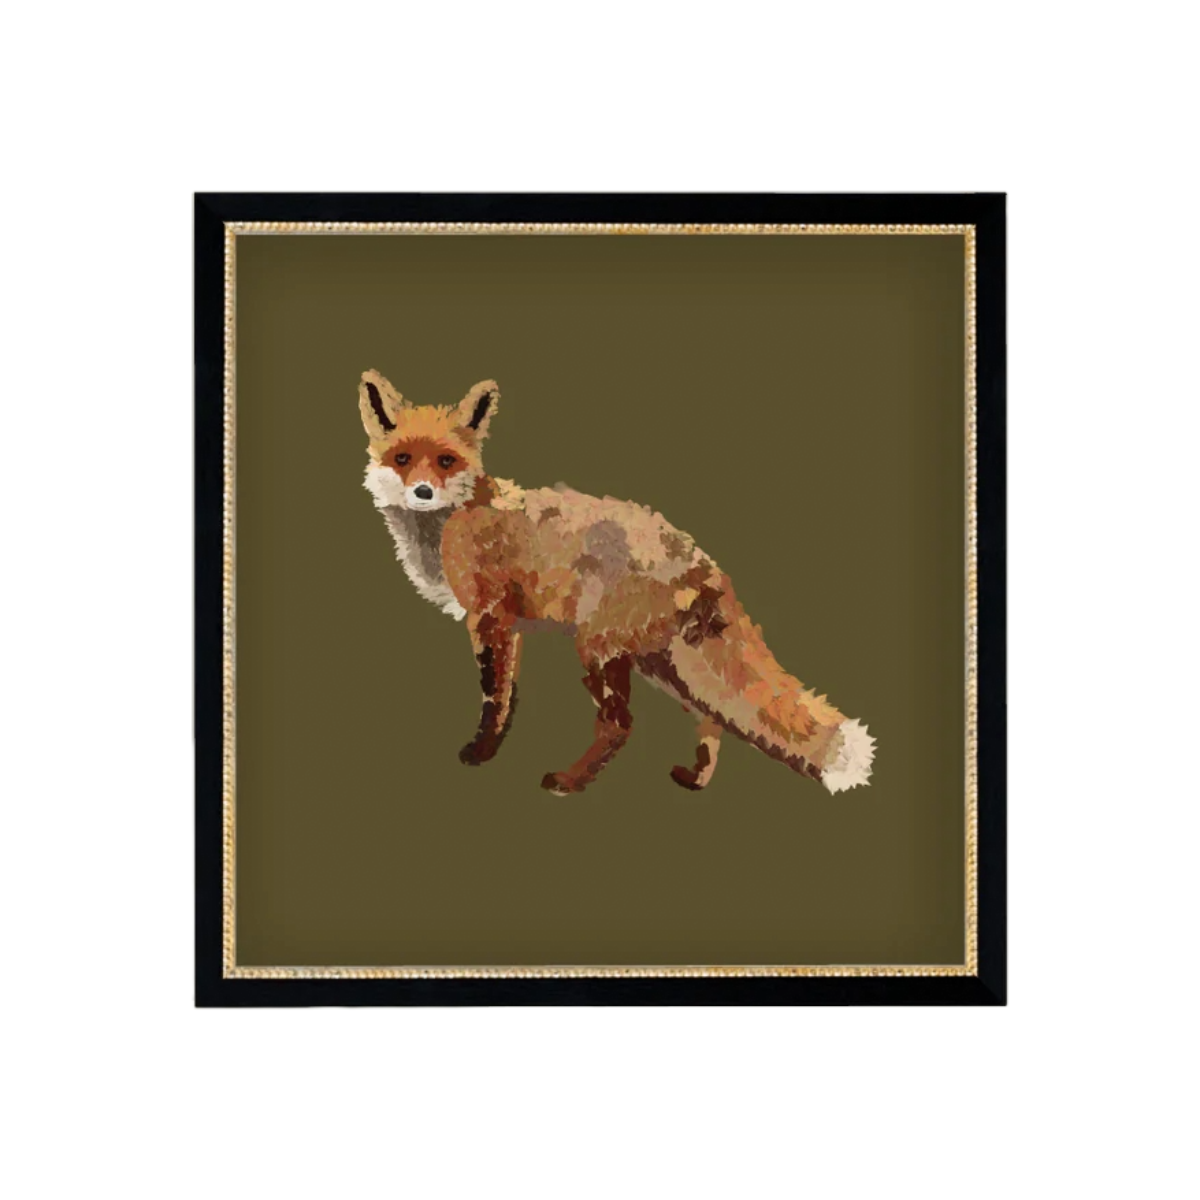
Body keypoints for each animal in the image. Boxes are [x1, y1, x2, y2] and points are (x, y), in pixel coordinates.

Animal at [359, 369, 875, 796]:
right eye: (402, 458)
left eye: (446, 461)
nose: (422, 492)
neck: (450, 521)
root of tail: (702, 559)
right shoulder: (508, 625)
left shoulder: (491, 617)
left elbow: (496, 698)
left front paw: (482, 753)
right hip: (660, 662)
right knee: (710, 719)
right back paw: (694, 780)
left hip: (599, 650)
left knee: (620, 724)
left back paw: (569, 783)